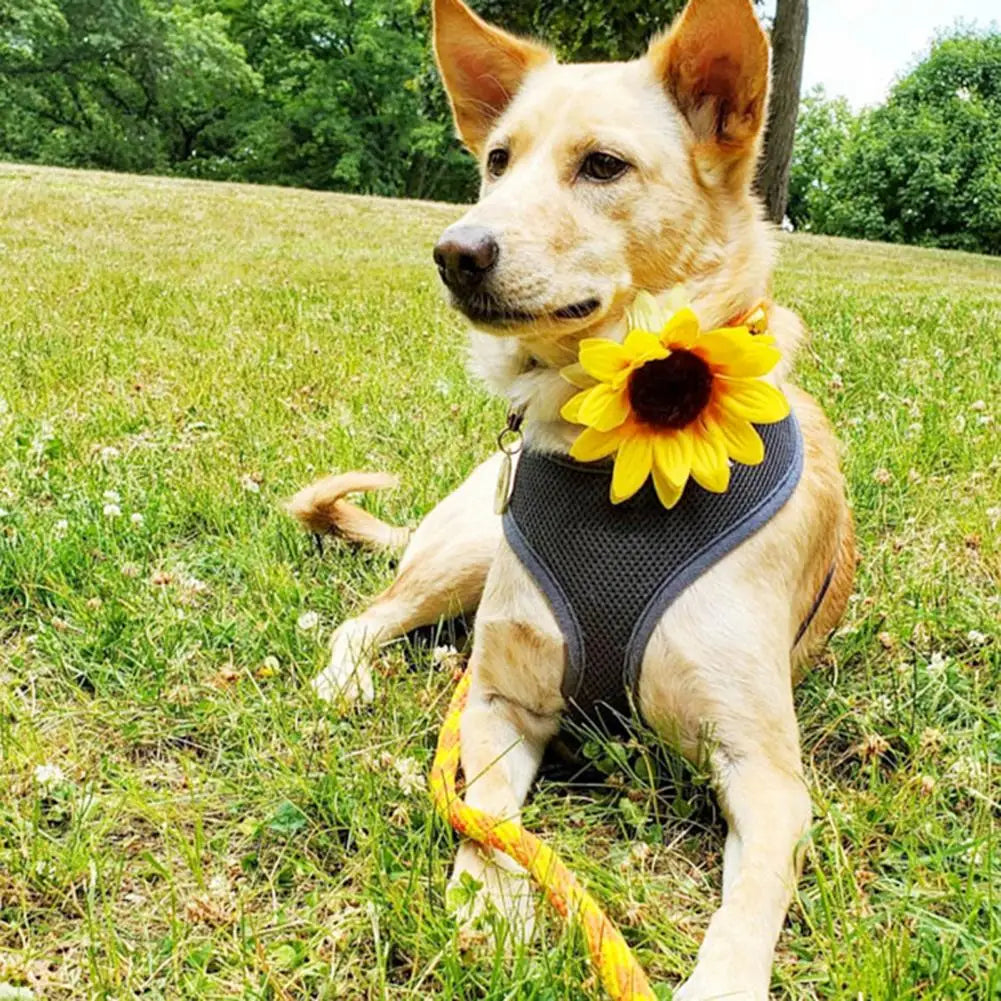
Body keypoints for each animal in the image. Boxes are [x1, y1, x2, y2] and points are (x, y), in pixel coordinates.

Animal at [288, 3, 852, 996]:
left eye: (602, 165)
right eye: (497, 160)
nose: (455, 251)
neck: (619, 450)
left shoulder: (764, 769)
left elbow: (750, 899)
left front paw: (721, 979)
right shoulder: (500, 701)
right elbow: (488, 813)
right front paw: (489, 895)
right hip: (469, 549)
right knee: (365, 617)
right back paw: (346, 678)